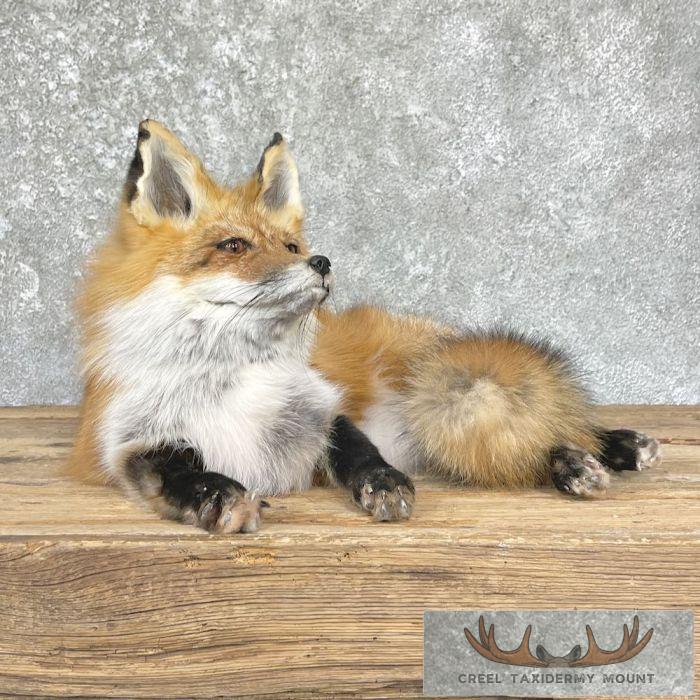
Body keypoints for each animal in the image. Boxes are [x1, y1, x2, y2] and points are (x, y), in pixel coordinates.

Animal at [68, 120, 660, 534]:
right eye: (234, 246)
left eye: (291, 247)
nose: (321, 262)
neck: (238, 379)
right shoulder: (123, 443)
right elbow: (175, 468)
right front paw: (218, 494)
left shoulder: (322, 406)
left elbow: (357, 448)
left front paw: (382, 482)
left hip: (441, 395)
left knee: (552, 423)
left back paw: (602, 451)